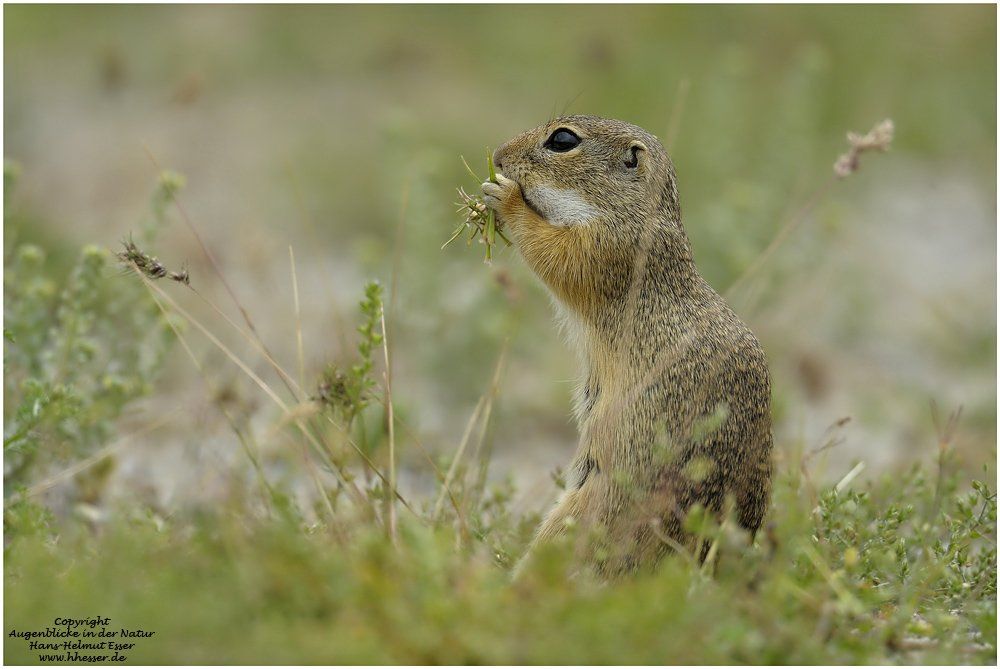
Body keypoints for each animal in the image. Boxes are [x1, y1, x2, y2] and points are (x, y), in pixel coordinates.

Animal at [481, 115, 773, 577]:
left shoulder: (608, 246)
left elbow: (556, 253)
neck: (636, 212)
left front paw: (502, 194)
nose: (497, 156)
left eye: (562, 140)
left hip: (574, 516)